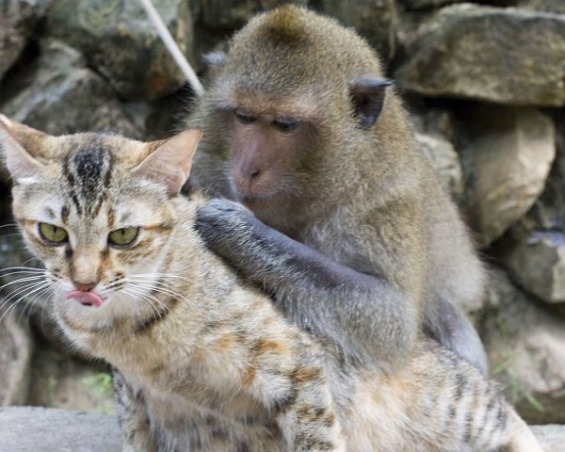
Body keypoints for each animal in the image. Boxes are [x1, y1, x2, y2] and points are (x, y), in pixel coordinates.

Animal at [0, 114, 542, 452]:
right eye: (52, 232)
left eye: (124, 235)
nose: (83, 281)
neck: (134, 332)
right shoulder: (132, 394)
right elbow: (137, 438)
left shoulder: (299, 366)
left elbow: (316, 437)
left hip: (455, 405)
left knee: (515, 423)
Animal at [188, 5, 488, 373]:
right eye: (244, 117)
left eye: (284, 125)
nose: (248, 169)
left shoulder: (382, 207)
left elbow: (390, 317)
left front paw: (241, 230)